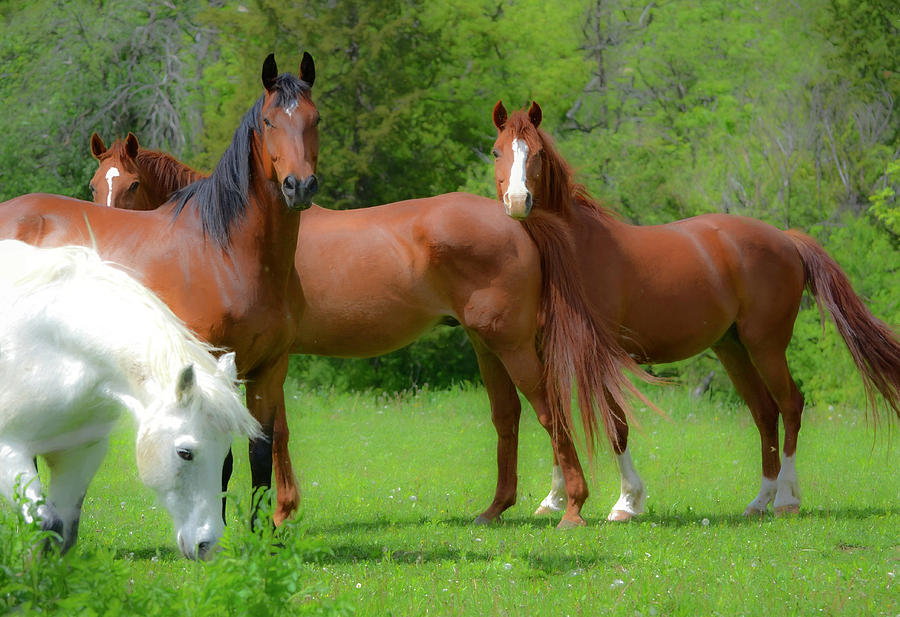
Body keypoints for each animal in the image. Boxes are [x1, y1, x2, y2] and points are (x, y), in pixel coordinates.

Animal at [0, 241, 260, 560]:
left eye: (225, 454)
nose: (208, 545)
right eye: (184, 453)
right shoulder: (9, 450)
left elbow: (63, 534)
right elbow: (46, 524)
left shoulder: (79, 454)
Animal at [492, 101, 900, 520]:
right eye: (496, 151)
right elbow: (555, 418)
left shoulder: (600, 355)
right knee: (765, 412)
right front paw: (554, 499)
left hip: (766, 347)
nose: (518, 201)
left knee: (790, 405)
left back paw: (786, 499)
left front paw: (627, 502)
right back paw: (759, 501)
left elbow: (616, 426)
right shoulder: (549, 352)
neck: (574, 249)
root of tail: (786, 239)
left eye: (538, 153)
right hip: (733, 349)